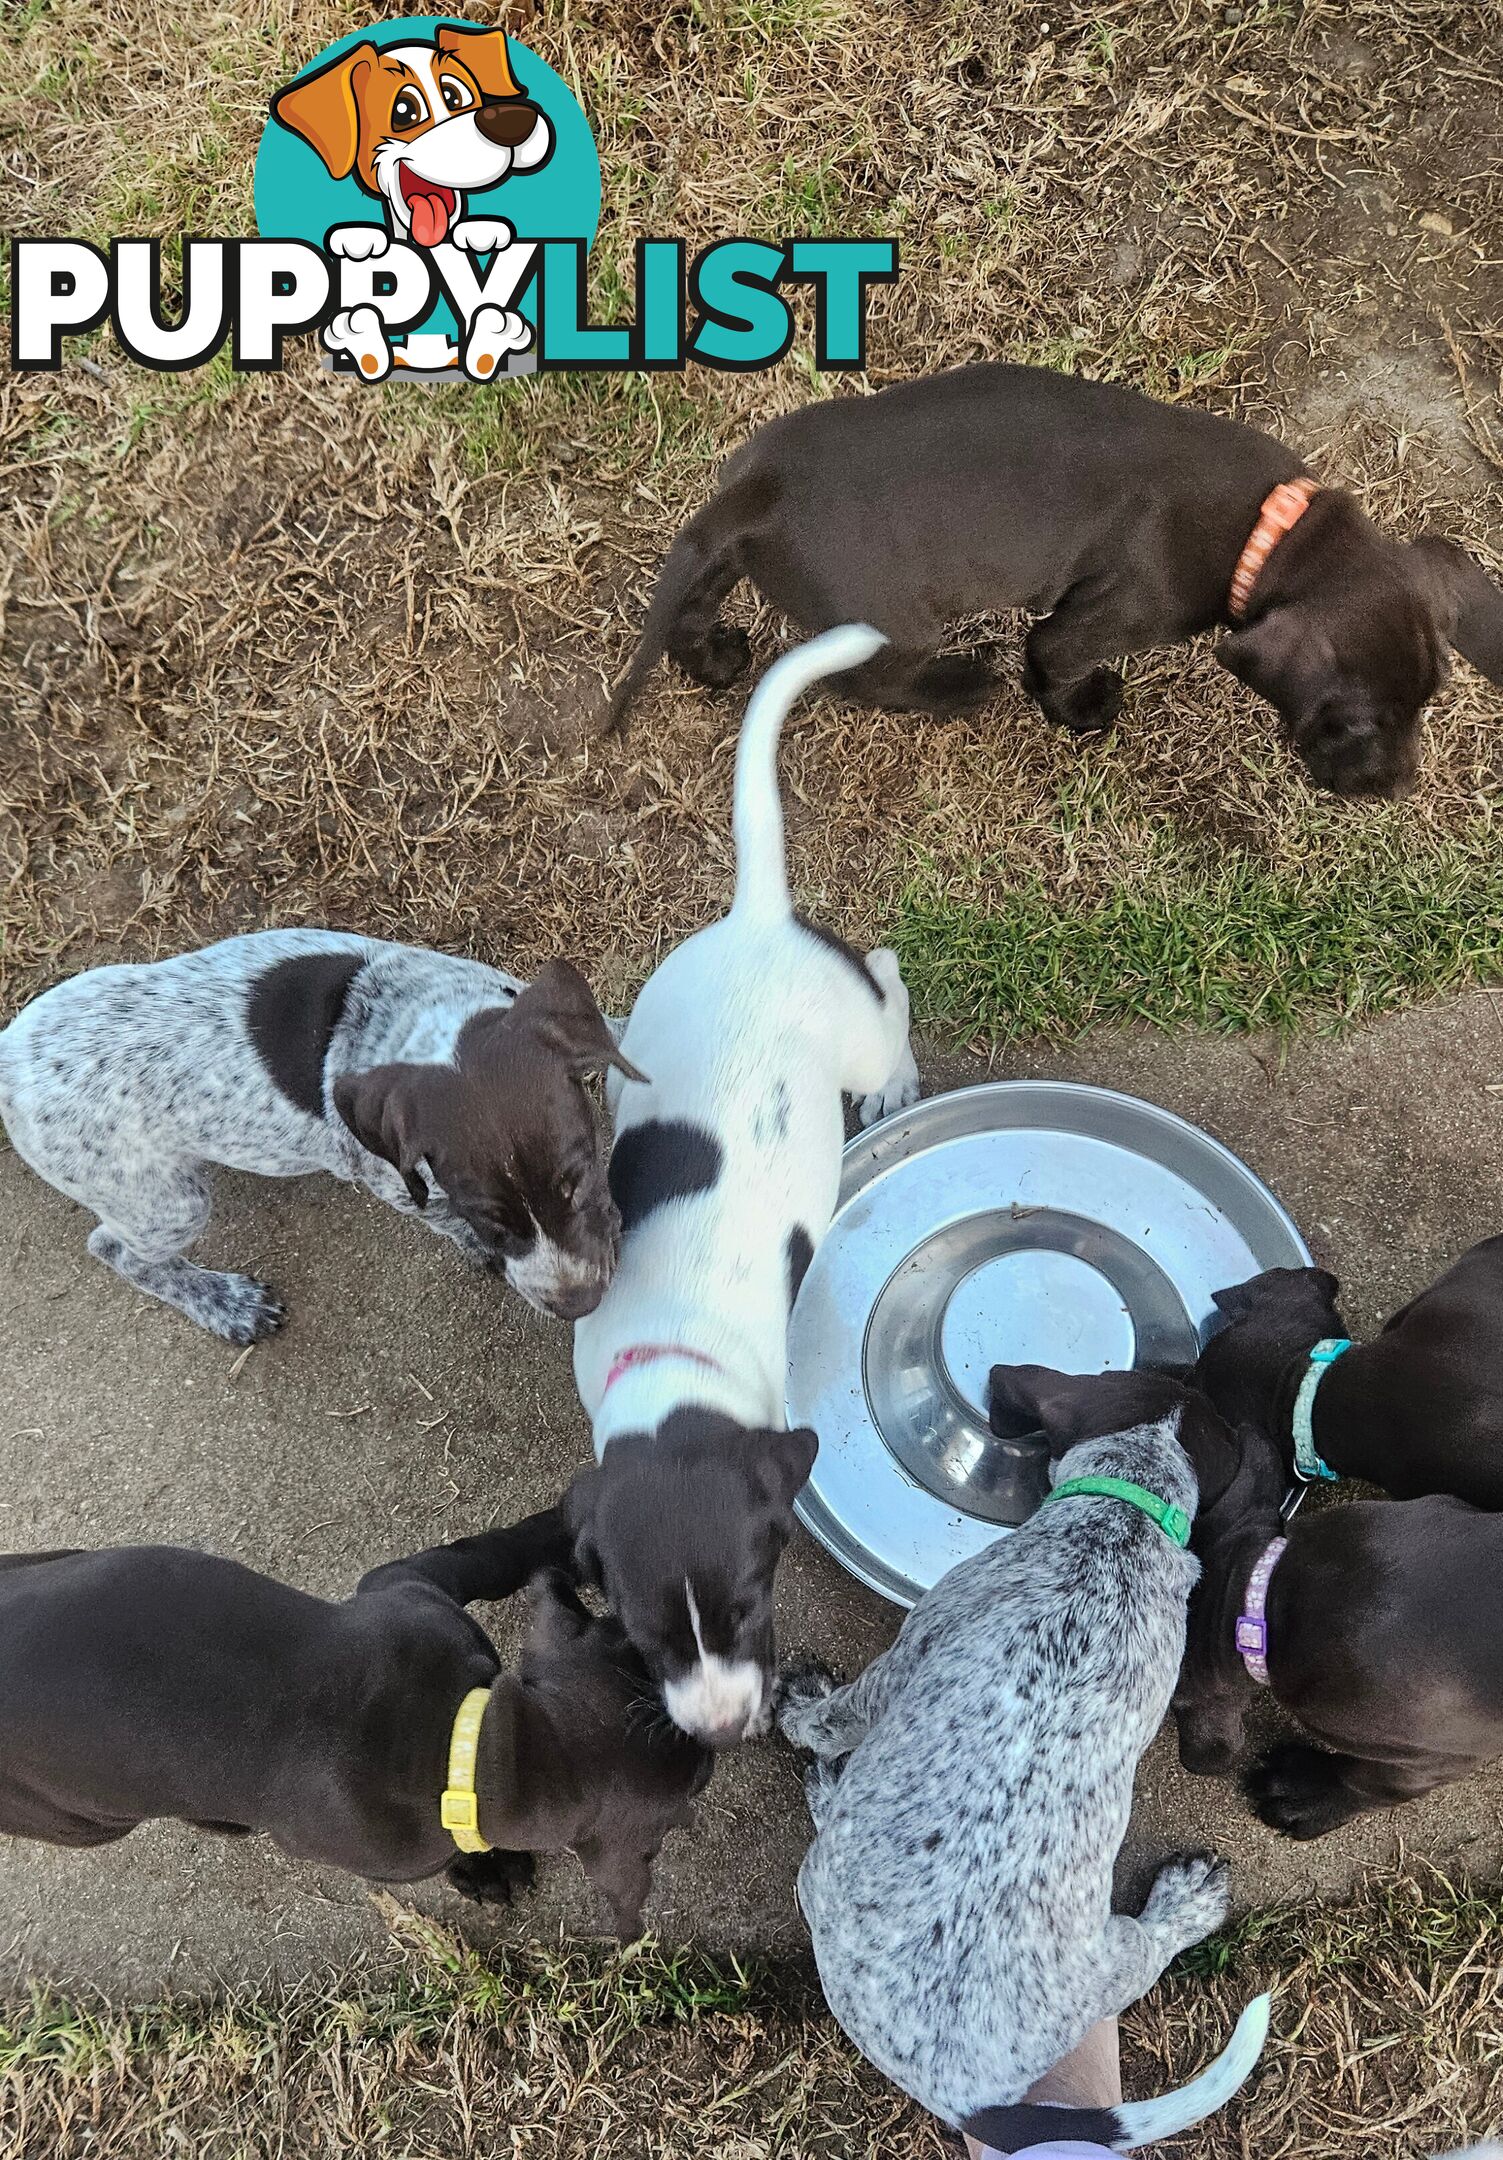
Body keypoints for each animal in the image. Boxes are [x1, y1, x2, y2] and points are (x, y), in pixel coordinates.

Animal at [0, 933, 634, 1339]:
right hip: (164, 1202)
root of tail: (6, 1054)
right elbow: (440, 1213)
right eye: (488, 1217)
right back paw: (226, 1305)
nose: (578, 1304)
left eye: (579, 1181)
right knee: (116, 1250)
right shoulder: (395, 1180)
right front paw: (477, 1247)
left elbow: (612, 1032)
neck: (420, 1024)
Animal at [0, 1512, 708, 1935]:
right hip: (85, 1821)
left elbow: (481, 1555)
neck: (462, 1747)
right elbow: (483, 1553)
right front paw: (481, 1870)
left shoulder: (414, 1586)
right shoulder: (401, 1580)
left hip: (47, 1558)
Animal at [570, 626, 919, 1753]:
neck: (678, 1362)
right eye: (644, 1637)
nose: (722, 1733)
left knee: (887, 976)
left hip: (855, 1026)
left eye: (751, 1607)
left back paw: (894, 1072)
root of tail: (761, 919)